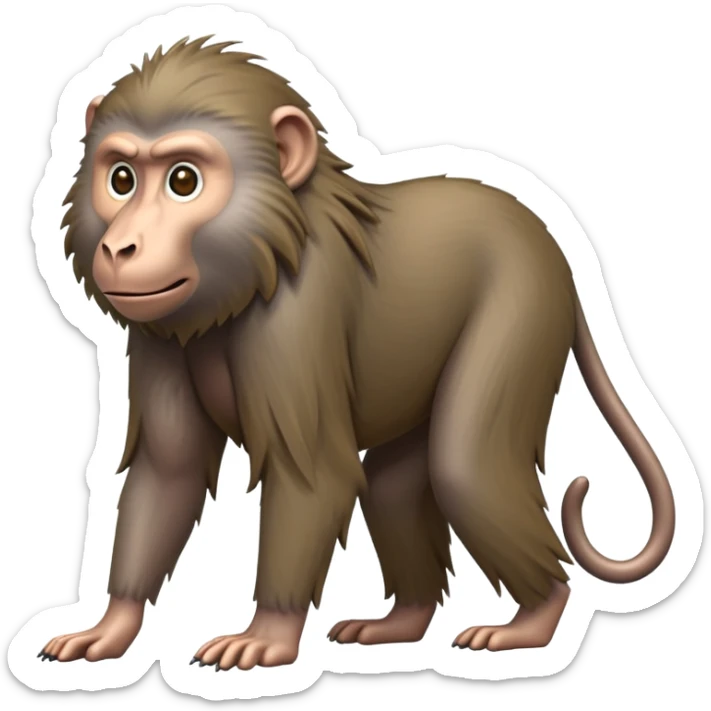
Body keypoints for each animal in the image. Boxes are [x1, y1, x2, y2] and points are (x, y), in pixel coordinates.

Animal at [37, 36, 674, 671]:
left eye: (184, 180)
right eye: (121, 179)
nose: (121, 247)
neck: (260, 262)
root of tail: (557, 252)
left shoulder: (295, 319)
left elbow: (312, 473)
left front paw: (268, 634)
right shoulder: (160, 336)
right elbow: (171, 470)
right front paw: (114, 623)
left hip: (523, 306)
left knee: (463, 464)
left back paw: (535, 619)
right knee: (393, 484)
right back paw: (403, 622)